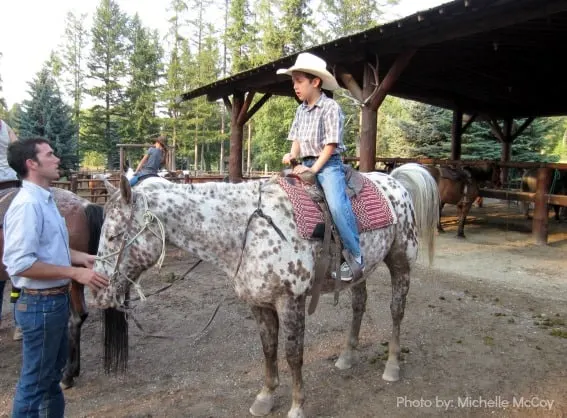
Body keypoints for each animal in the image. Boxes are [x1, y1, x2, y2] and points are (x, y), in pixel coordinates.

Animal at [93, 163, 442, 418]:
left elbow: (293, 355)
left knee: (397, 310)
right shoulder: (259, 303)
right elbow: (269, 349)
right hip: (361, 270)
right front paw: (265, 396)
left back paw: (392, 366)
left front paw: (298, 406)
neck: (248, 232)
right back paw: (346, 357)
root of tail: (394, 181)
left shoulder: (291, 301)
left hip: (400, 263)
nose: (99, 294)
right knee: (359, 304)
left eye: (113, 236)